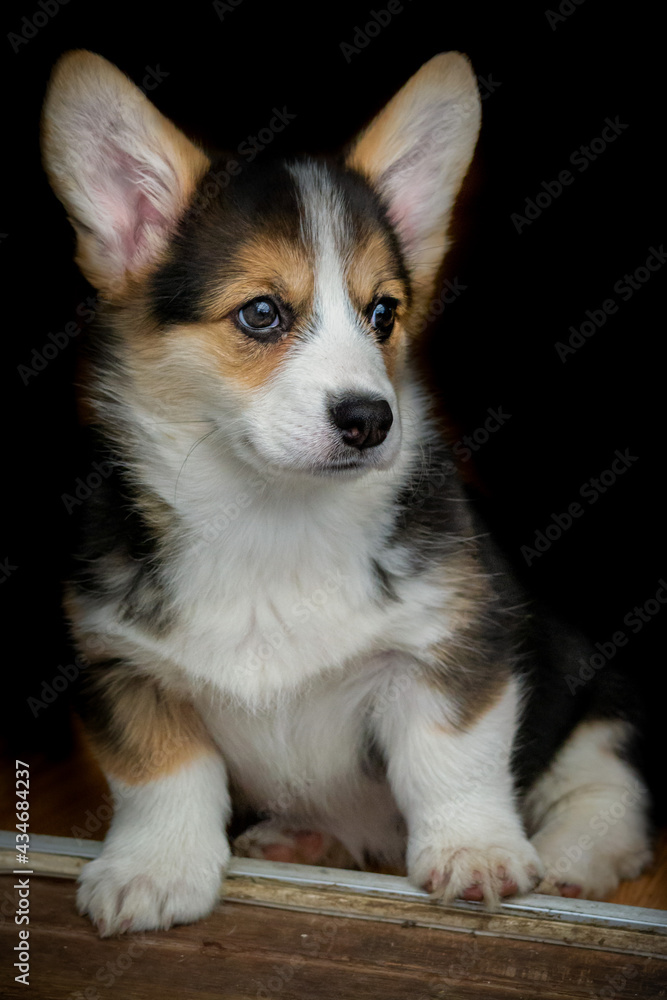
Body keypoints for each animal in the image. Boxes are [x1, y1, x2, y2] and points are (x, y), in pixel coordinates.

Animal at [40, 50, 652, 932]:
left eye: (383, 313)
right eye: (262, 313)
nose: (370, 418)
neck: (269, 518)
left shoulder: (451, 647)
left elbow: (450, 761)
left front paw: (475, 854)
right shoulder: (124, 667)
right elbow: (160, 776)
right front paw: (150, 871)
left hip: (596, 687)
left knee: (602, 786)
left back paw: (573, 859)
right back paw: (301, 836)